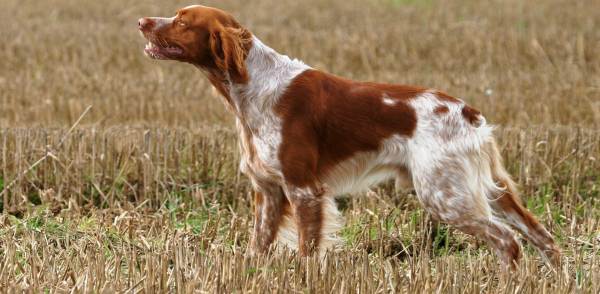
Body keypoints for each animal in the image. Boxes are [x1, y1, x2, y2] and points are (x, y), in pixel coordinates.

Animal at [138, 4, 560, 266]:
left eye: (181, 20)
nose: (142, 20)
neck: (253, 87)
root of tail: (469, 113)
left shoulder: (304, 189)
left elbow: (308, 251)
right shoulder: (269, 192)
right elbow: (259, 245)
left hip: (444, 194)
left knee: (508, 241)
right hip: (490, 190)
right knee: (543, 236)